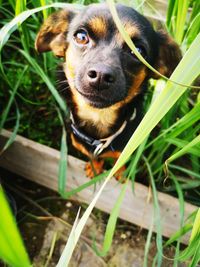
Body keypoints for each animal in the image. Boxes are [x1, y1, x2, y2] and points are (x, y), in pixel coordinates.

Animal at [35, 3, 182, 179]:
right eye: (81, 37)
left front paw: (120, 173)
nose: (101, 75)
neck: (98, 118)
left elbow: (120, 160)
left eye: (138, 50)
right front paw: (95, 168)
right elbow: (95, 158)